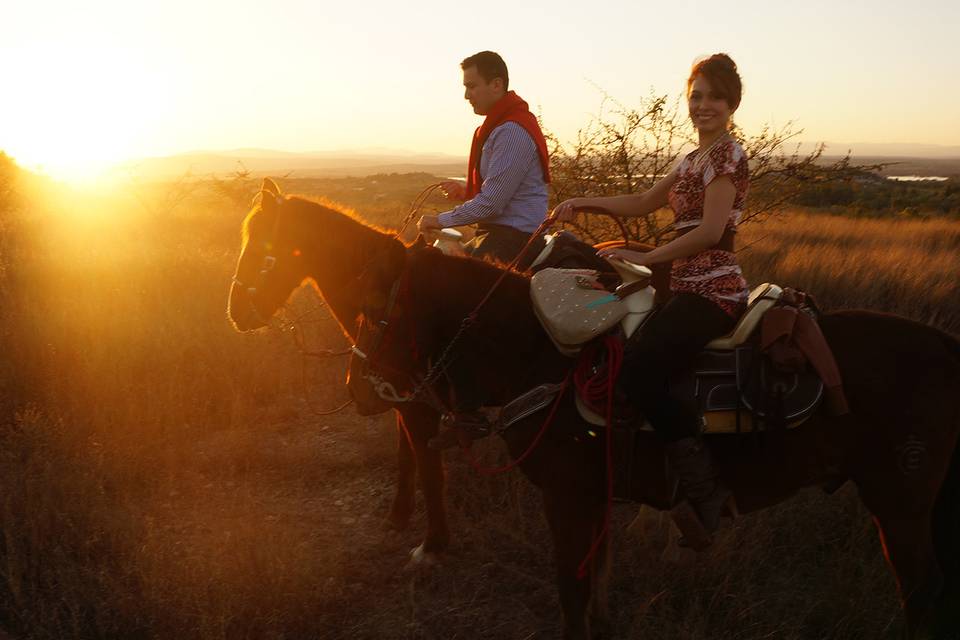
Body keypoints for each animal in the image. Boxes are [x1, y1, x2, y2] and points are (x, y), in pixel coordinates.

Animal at [231, 179, 960, 640]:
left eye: (376, 305)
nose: (366, 384)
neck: (539, 349)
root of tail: (950, 349)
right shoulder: (595, 495)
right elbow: (595, 592)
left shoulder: (568, 495)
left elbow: (570, 591)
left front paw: (426, 542)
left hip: (900, 506)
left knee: (922, 599)